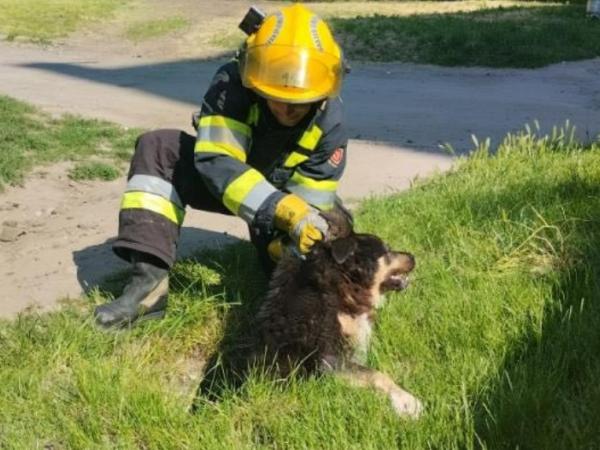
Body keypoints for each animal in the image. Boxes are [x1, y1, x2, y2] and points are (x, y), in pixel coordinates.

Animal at [248, 211, 422, 418]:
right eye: (386, 251)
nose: (413, 256)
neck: (338, 284)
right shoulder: (327, 360)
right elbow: (376, 374)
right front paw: (406, 401)